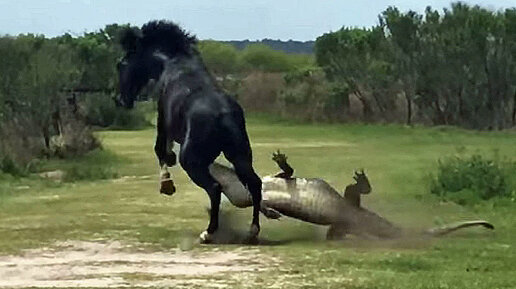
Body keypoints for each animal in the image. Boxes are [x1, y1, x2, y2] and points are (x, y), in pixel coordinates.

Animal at [116, 20, 262, 242]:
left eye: (122, 64)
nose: (120, 99)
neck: (172, 63)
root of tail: (224, 115)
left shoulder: (162, 120)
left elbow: (160, 149)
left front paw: (167, 183)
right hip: (240, 156)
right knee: (255, 183)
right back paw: (252, 231)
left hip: (192, 161)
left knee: (215, 188)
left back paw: (208, 233)